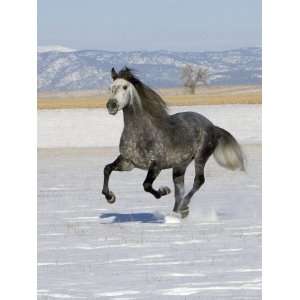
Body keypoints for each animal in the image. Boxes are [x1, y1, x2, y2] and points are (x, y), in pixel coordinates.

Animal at [102, 67, 245, 218]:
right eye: (111, 88)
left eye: (124, 87)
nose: (111, 105)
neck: (141, 134)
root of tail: (213, 126)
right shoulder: (128, 162)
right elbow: (107, 169)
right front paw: (110, 197)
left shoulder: (156, 165)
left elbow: (146, 185)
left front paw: (163, 191)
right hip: (180, 166)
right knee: (179, 189)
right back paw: (178, 212)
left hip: (200, 157)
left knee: (198, 181)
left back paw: (183, 207)